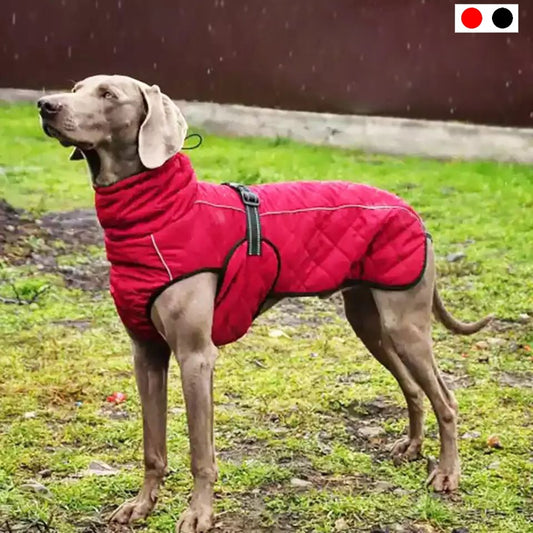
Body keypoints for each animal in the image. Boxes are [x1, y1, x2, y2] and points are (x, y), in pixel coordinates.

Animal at [38, 75, 490, 532]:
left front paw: (199, 513)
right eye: (76, 88)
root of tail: (412, 211)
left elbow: (201, 453)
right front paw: (141, 505)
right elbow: (153, 447)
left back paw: (447, 473)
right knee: (413, 388)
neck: (160, 216)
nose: (45, 105)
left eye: (108, 95)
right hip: (370, 323)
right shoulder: (146, 353)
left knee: (446, 400)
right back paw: (412, 447)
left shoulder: (196, 357)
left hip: (405, 324)